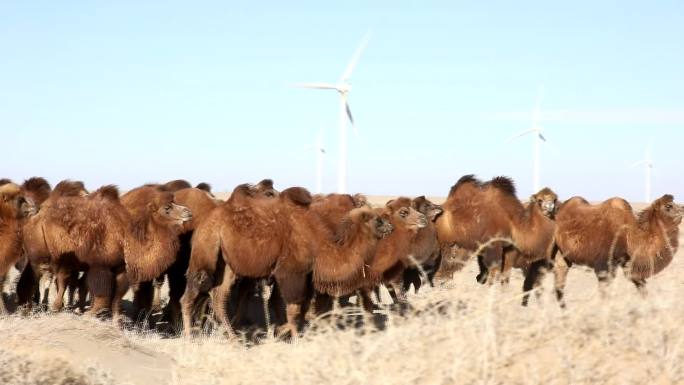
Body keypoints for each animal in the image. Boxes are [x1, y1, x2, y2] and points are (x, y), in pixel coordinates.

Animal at [182, 184, 392, 338]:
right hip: (206, 249)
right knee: (194, 290)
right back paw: (189, 336)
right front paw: (290, 336)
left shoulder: (306, 276)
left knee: (219, 296)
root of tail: (207, 219)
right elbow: (294, 309)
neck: (319, 244)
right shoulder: (291, 273)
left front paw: (278, 331)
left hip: (227, 264)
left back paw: (233, 338)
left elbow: (303, 309)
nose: (390, 227)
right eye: (378, 220)